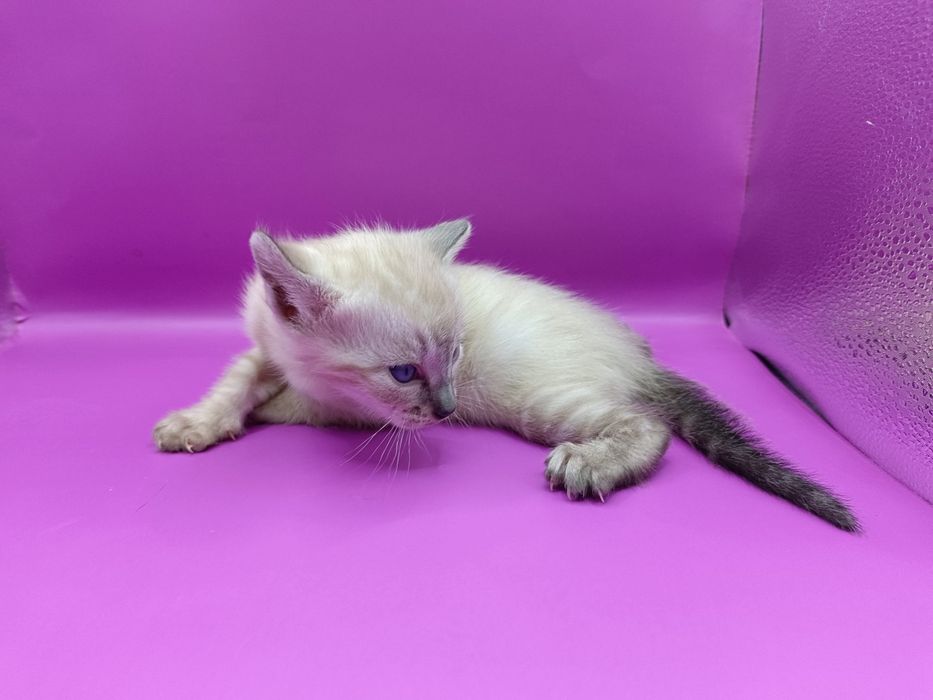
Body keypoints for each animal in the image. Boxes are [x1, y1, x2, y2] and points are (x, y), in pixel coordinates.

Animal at [153, 219, 859, 532]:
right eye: (405, 371)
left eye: (457, 353)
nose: (446, 409)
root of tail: (641, 358)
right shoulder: (264, 347)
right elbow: (238, 378)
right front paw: (196, 423)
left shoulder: (351, 410)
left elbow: (292, 402)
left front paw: (267, 407)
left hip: (542, 401)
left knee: (647, 425)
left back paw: (591, 464)